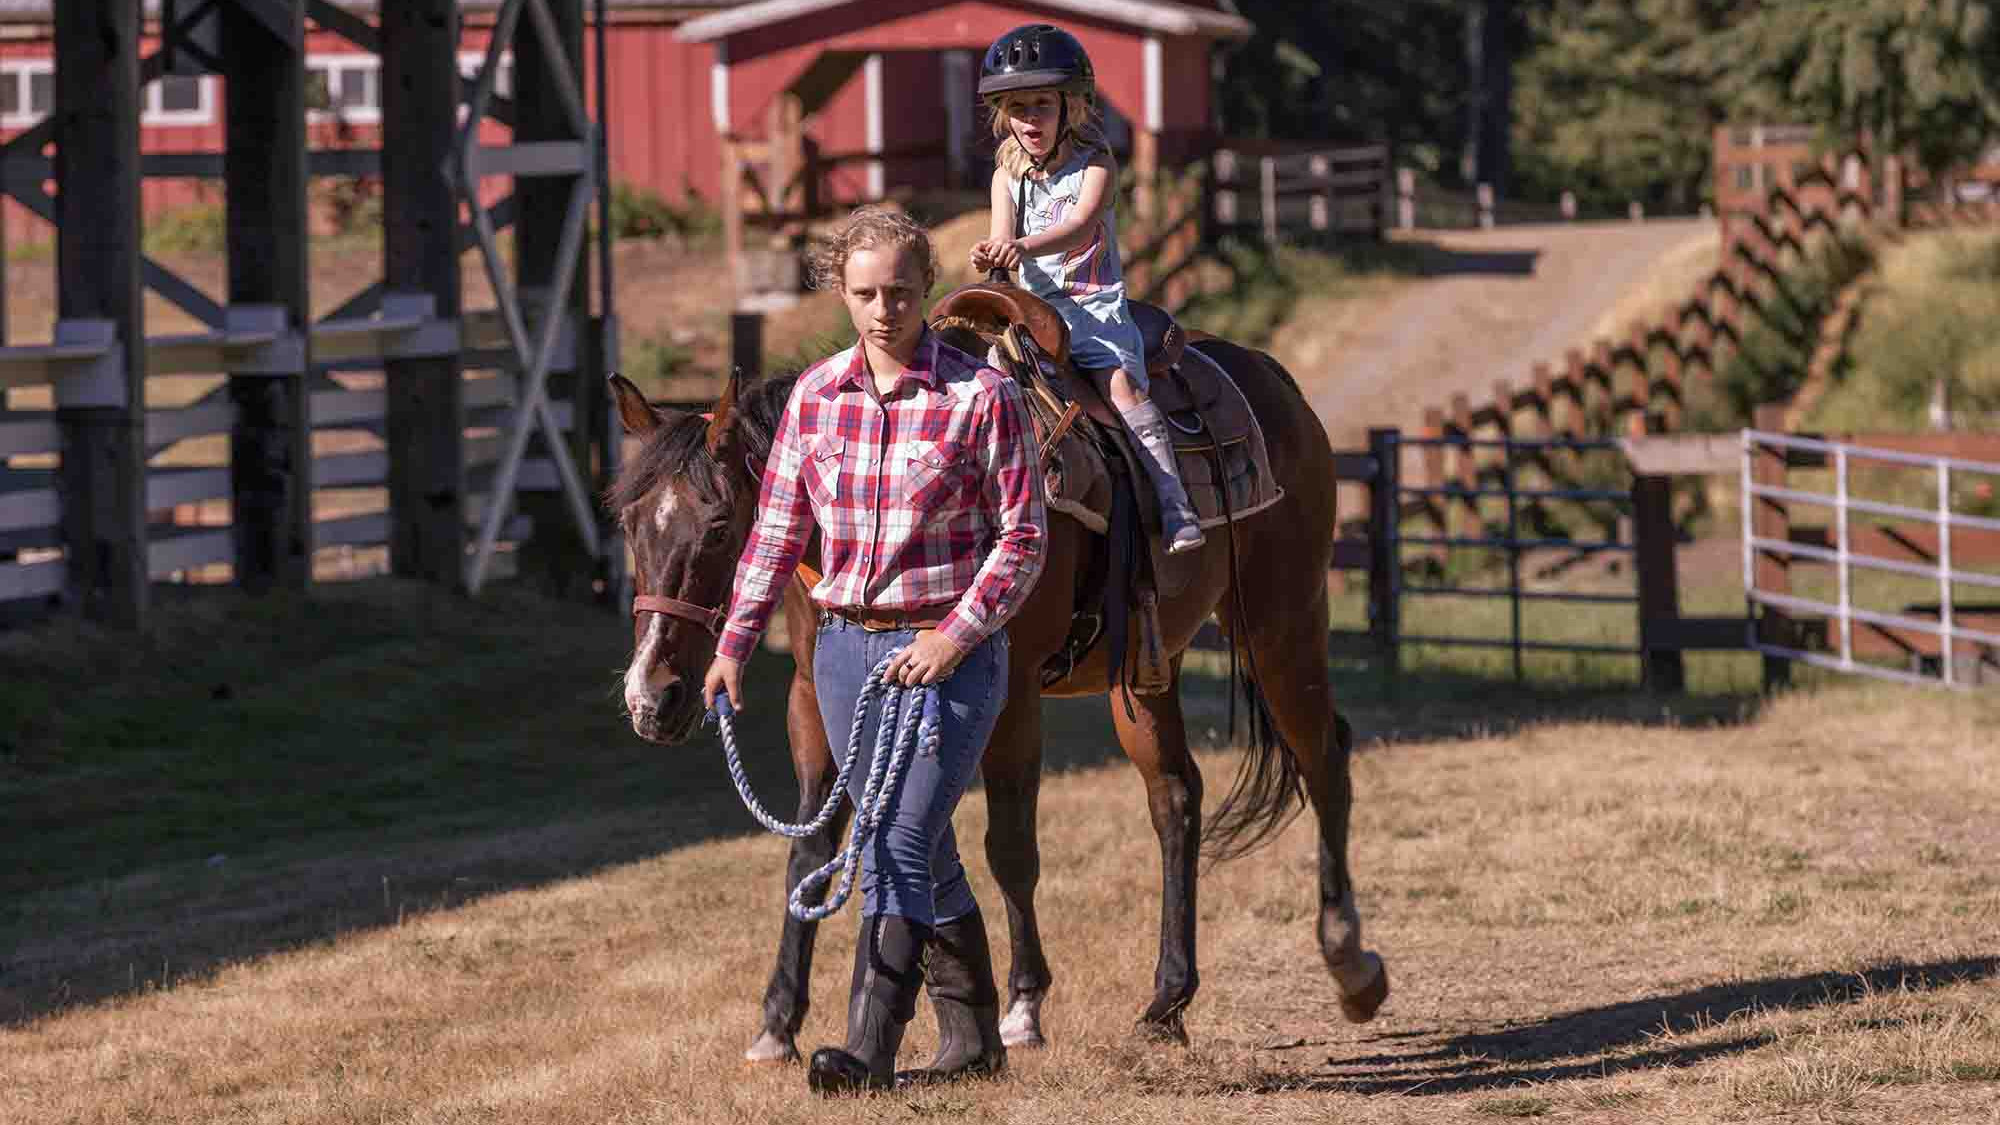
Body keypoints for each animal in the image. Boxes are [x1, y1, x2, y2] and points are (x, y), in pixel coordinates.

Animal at [604, 326, 1392, 1056]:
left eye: (715, 526)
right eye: (629, 524)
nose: (652, 696)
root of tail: (1271, 379)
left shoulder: (1008, 696)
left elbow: (1008, 847)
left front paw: (1020, 1007)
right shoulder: (815, 701)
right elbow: (815, 848)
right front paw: (779, 1021)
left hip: (1278, 626)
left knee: (1325, 759)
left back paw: (1351, 964)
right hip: (1145, 670)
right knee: (1176, 798)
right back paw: (1168, 999)